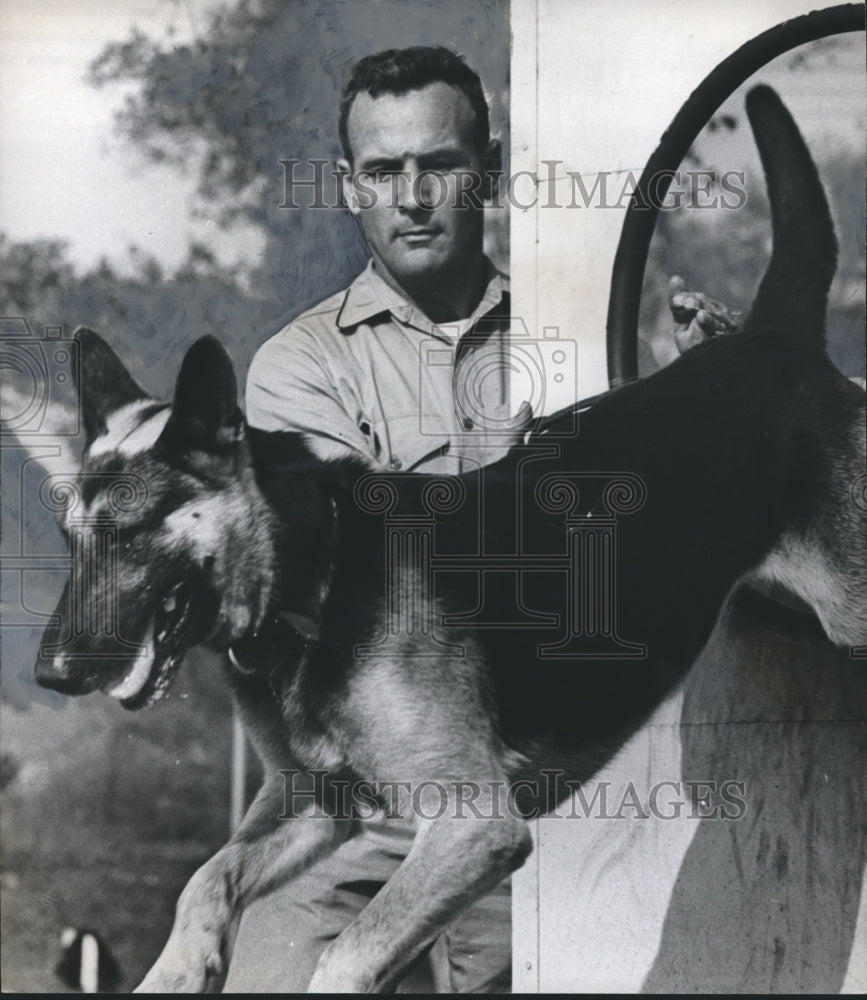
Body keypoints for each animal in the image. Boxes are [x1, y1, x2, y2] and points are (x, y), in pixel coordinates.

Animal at [20, 88, 867, 992]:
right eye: (73, 538)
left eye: (129, 532)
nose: (50, 674)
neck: (315, 575)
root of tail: (771, 341)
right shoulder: (312, 804)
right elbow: (206, 878)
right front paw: (181, 967)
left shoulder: (472, 827)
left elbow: (345, 956)